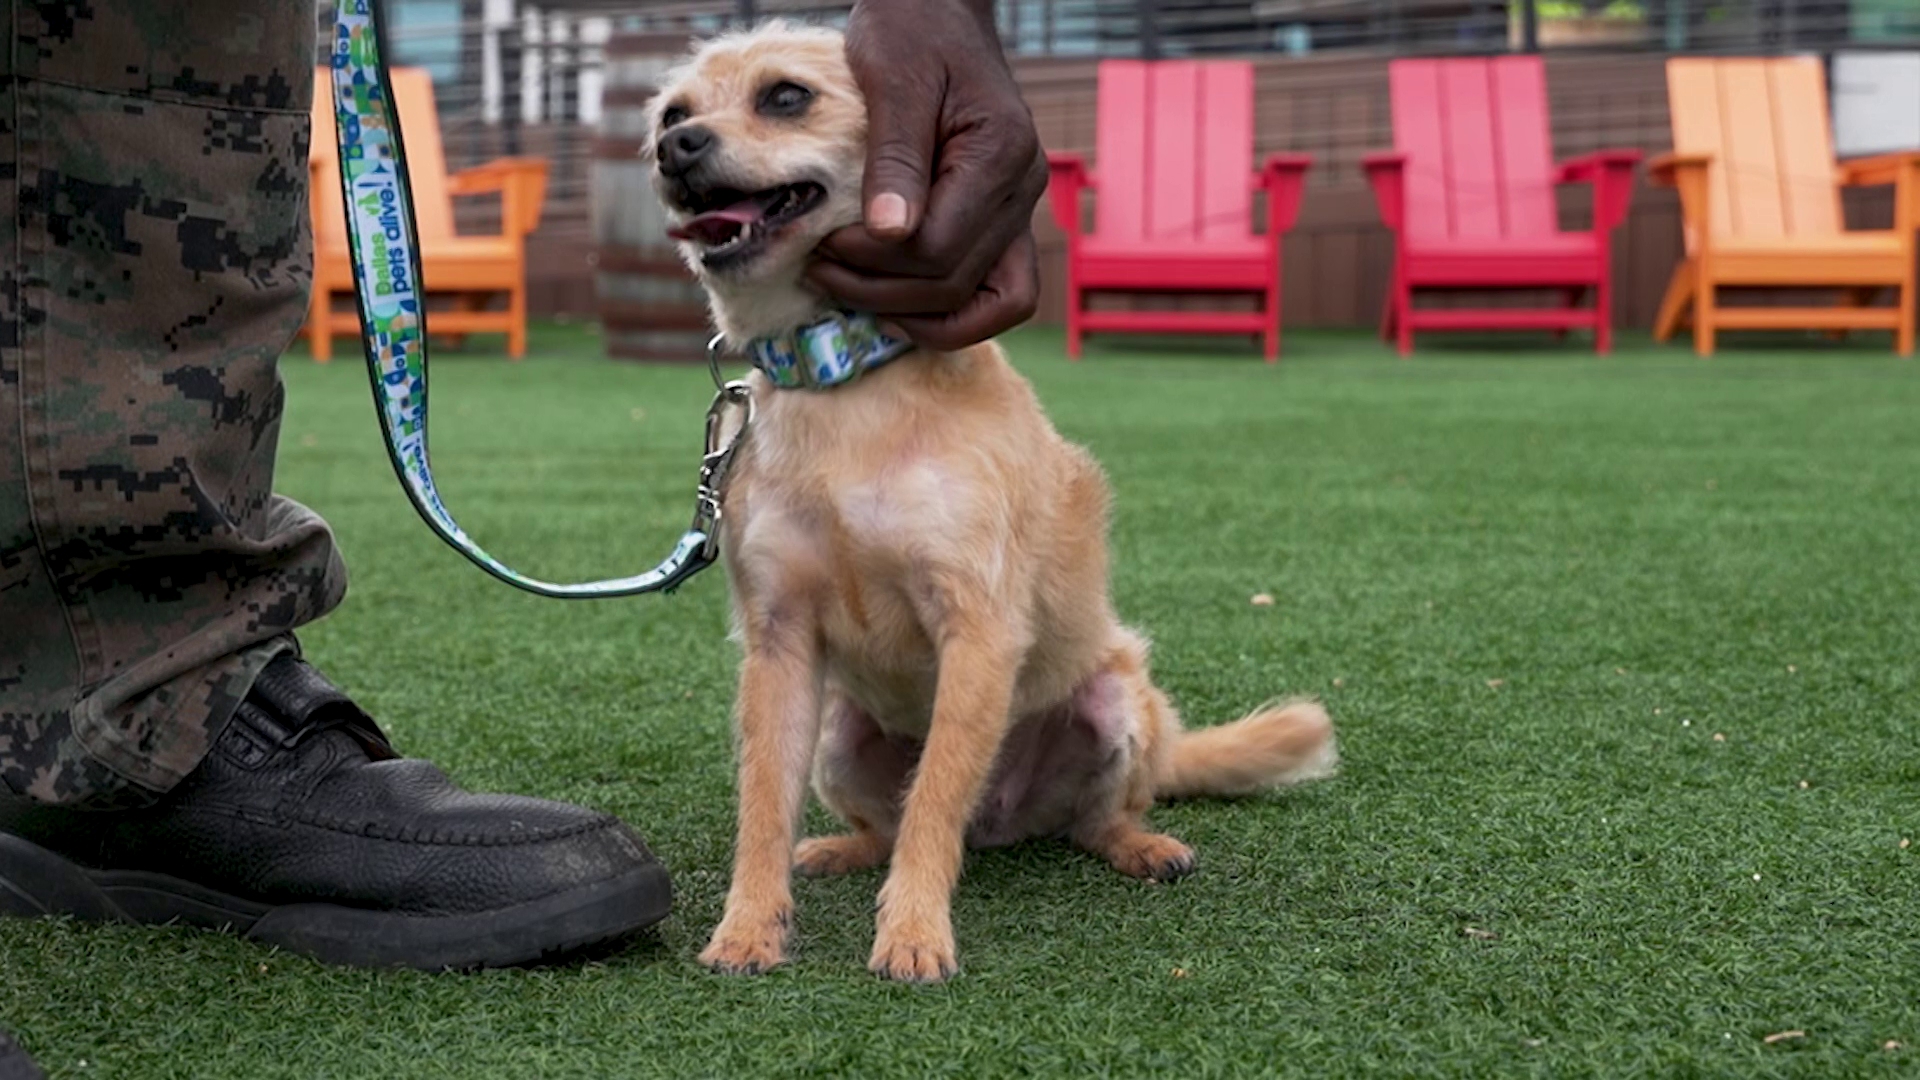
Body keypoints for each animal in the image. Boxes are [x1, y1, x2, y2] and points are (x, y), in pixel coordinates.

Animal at [645, 23, 1336, 983]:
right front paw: (750, 926)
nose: (675, 149)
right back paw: (843, 849)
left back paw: (1140, 845)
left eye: (785, 97)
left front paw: (912, 931)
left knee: (1090, 819)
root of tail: (1007, 822)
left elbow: (935, 800)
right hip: (839, 737)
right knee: (884, 822)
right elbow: (764, 806)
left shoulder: (976, 629)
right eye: (671, 114)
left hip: (1117, 707)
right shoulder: (779, 644)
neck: (842, 381)